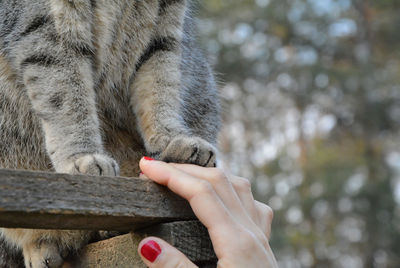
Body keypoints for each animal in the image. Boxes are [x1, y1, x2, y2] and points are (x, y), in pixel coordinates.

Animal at [0, 1, 222, 266]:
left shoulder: (163, 32)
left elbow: (160, 90)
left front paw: (172, 139)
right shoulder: (50, 30)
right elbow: (68, 98)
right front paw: (81, 158)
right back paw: (43, 244)